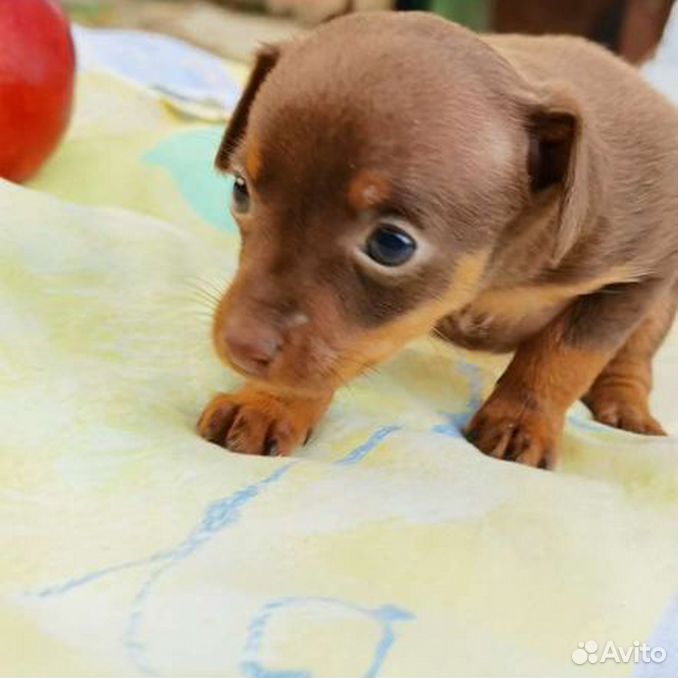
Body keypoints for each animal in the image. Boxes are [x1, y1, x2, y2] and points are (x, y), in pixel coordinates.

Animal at [198, 10, 678, 470]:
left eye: (391, 244)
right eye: (240, 190)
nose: (238, 345)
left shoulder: (637, 276)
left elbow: (564, 357)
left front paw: (522, 421)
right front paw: (266, 402)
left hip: (658, 308)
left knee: (633, 358)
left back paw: (625, 407)